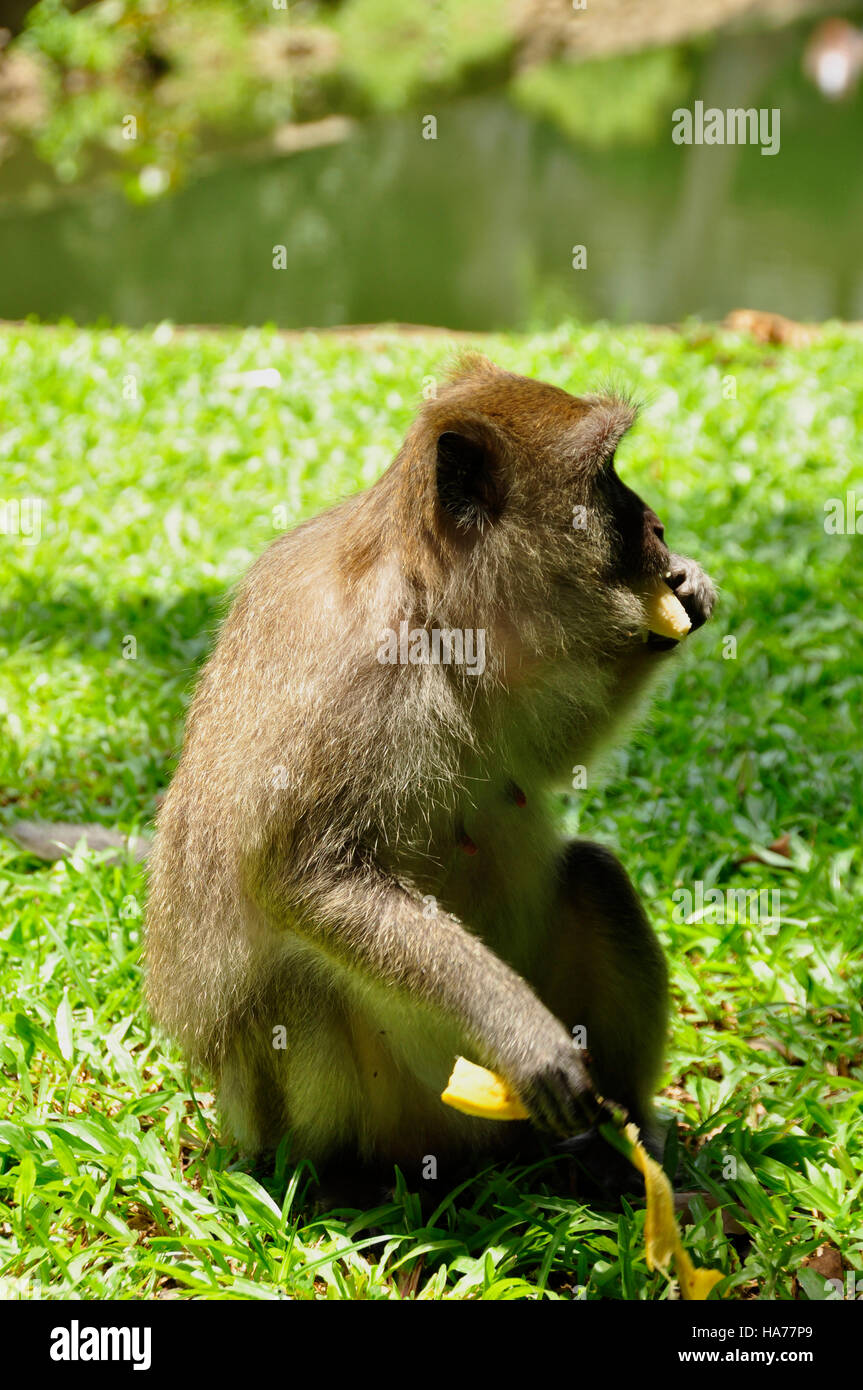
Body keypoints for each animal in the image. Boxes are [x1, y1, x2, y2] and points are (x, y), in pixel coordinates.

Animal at [16, 355, 716, 1183]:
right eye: (605, 477)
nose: (657, 527)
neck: (431, 606)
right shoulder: (353, 676)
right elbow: (309, 878)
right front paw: (519, 1031)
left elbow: (546, 757)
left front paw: (684, 597)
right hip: (379, 1110)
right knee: (294, 980)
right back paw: (334, 1181)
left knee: (593, 875)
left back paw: (621, 1144)